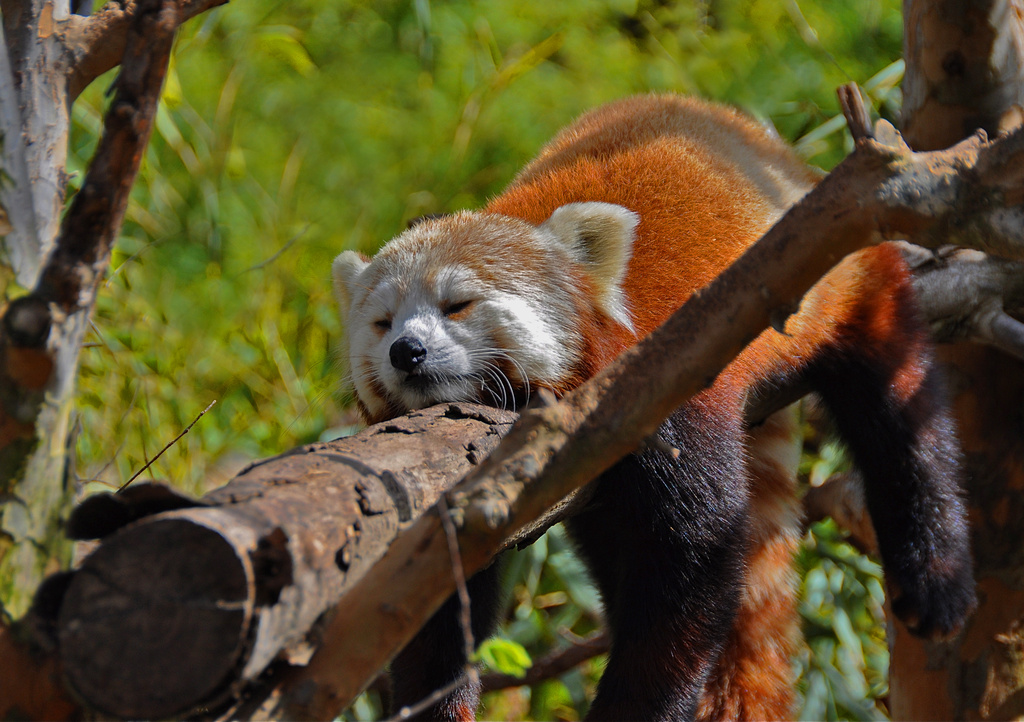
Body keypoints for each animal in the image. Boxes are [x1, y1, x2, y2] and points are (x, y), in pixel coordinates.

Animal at [333, 95, 974, 720]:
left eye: (458, 304)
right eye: (382, 322)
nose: (406, 351)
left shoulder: (670, 387)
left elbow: (692, 558)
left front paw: (637, 708)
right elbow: (431, 611)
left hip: (841, 272)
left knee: (900, 414)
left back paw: (935, 574)